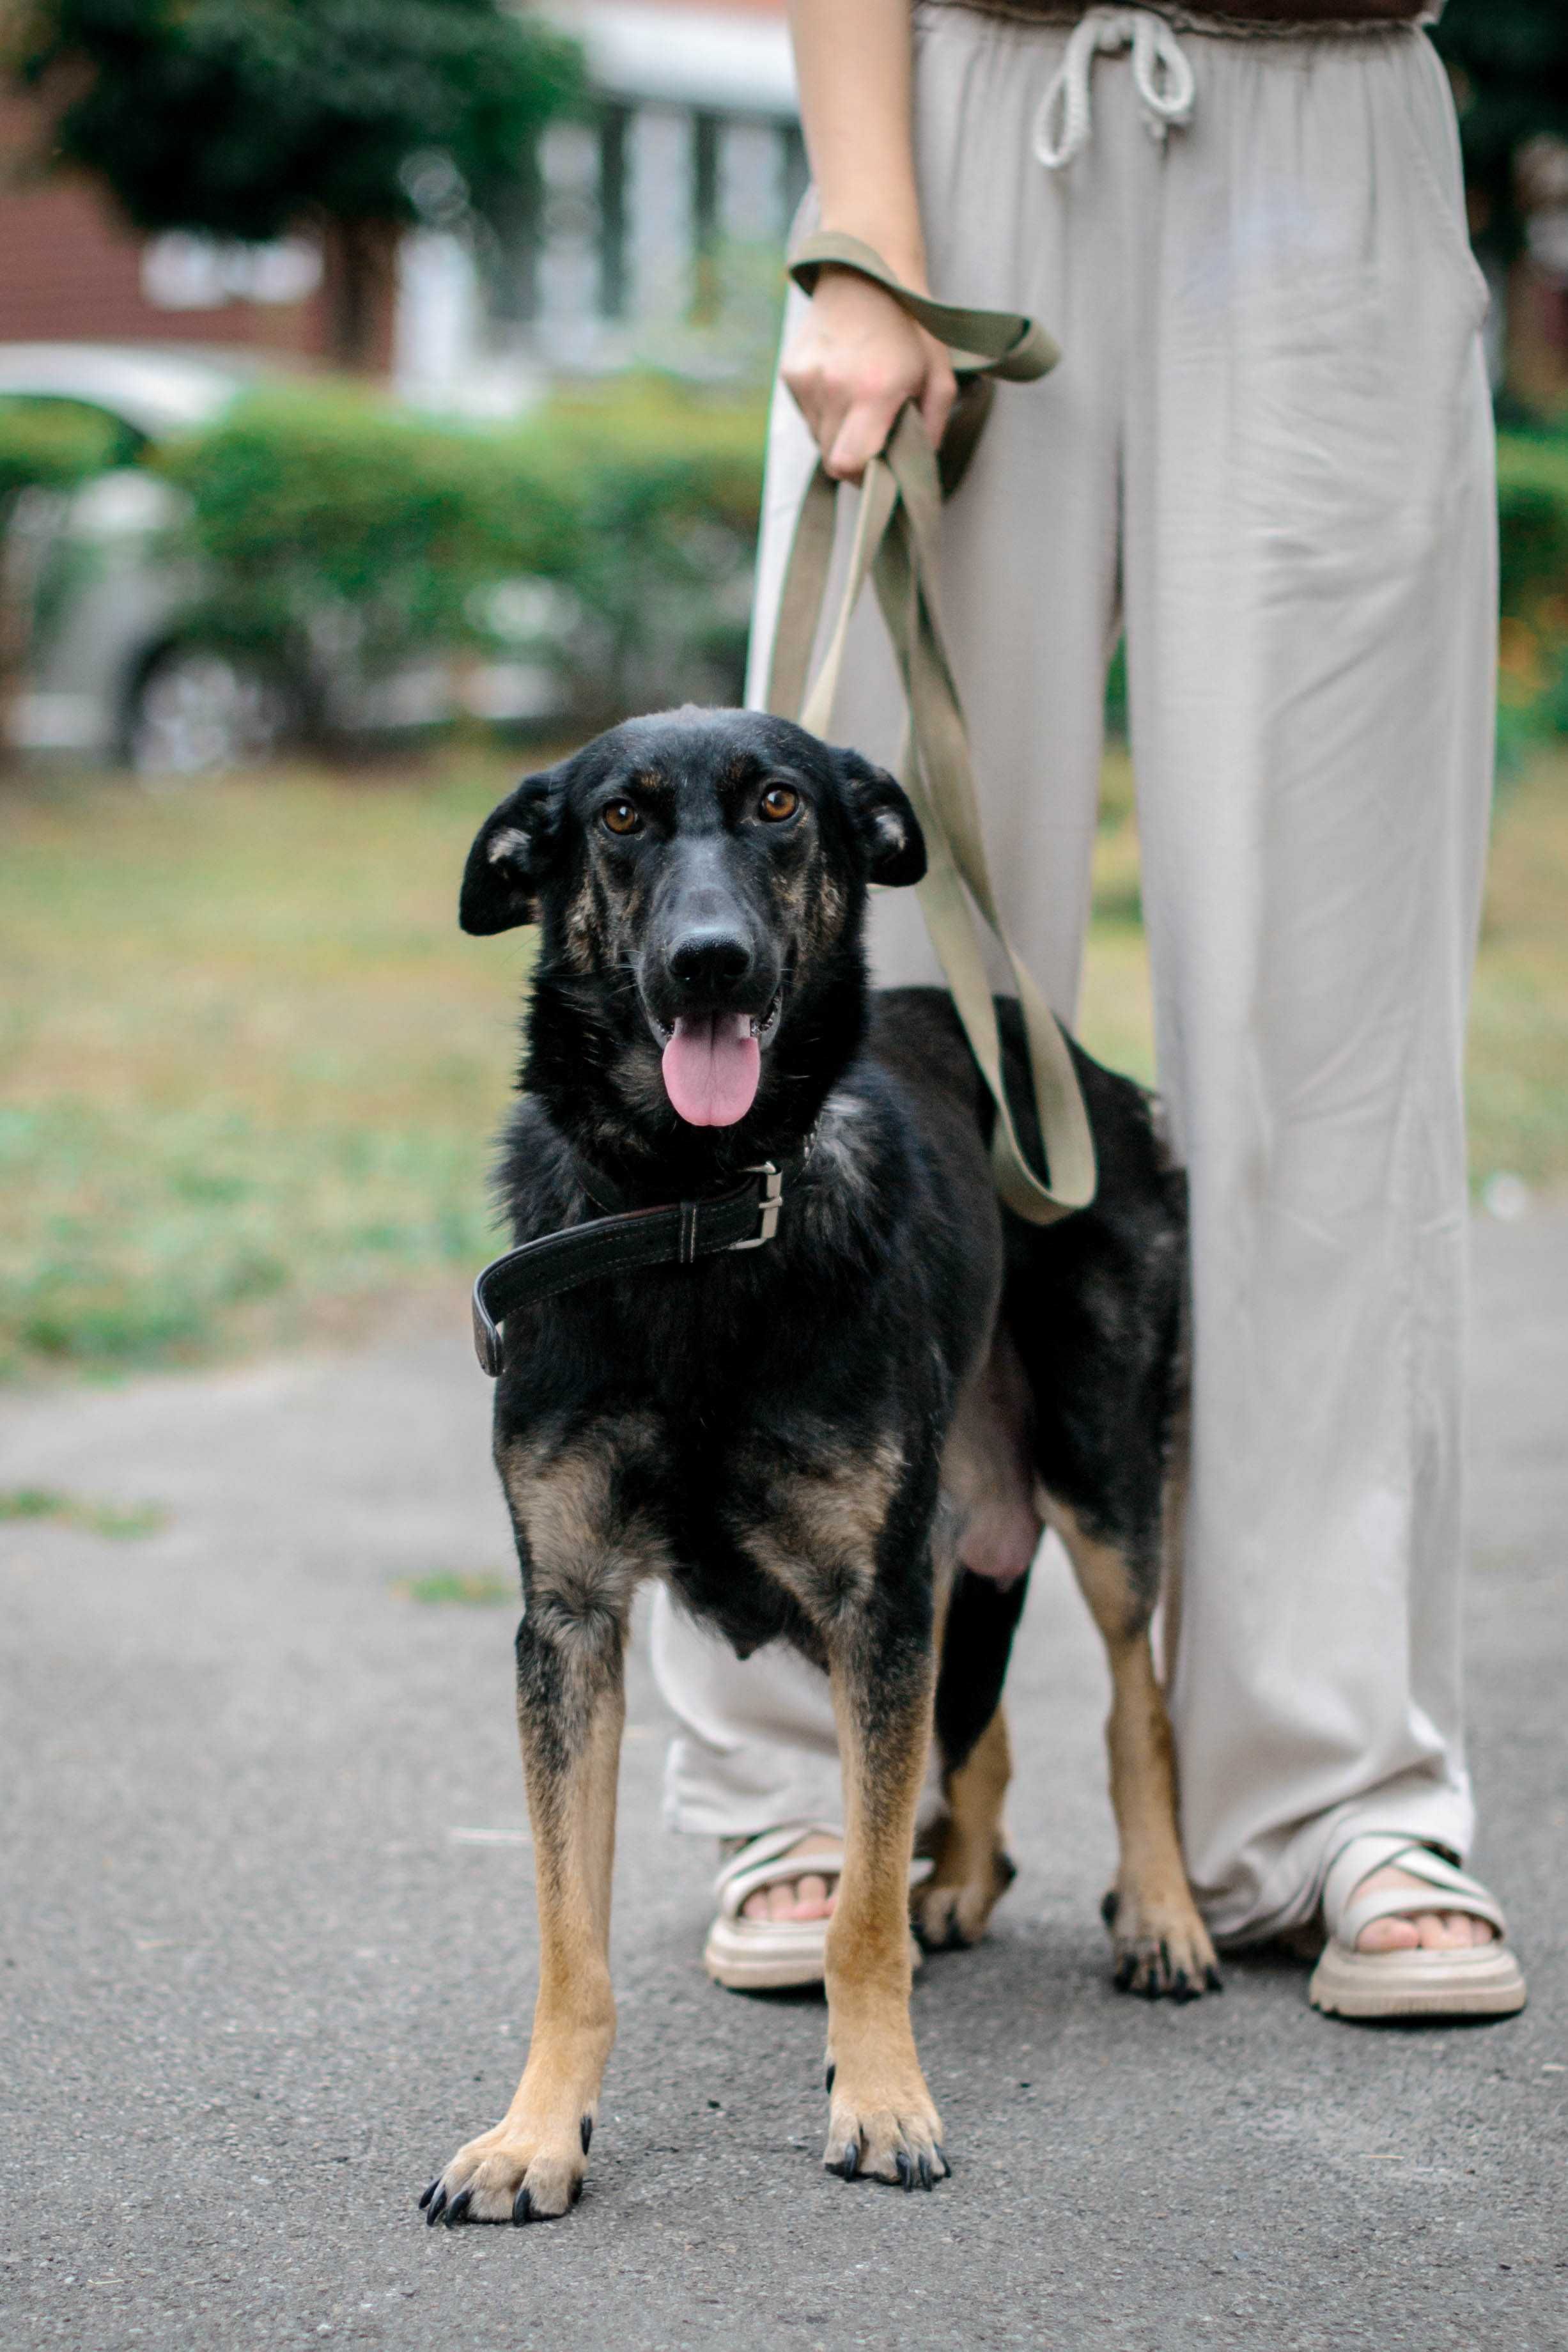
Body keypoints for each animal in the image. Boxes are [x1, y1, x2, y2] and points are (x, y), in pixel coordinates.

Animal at [423, 696, 1222, 2220]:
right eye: (619, 816)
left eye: (781, 805)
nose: (708, 961)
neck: (693, 1211)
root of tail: (1076, 1068)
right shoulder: (571, 1622)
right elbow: (569, 1934)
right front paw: (534, 2131)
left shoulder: (869, 1598)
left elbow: (857, 1910)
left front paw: (884, 2099)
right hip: (914, 1551)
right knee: (976, 1711)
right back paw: (961, 1878)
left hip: (1095, 1485)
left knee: (1135, 1699)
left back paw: (1159, 1911)